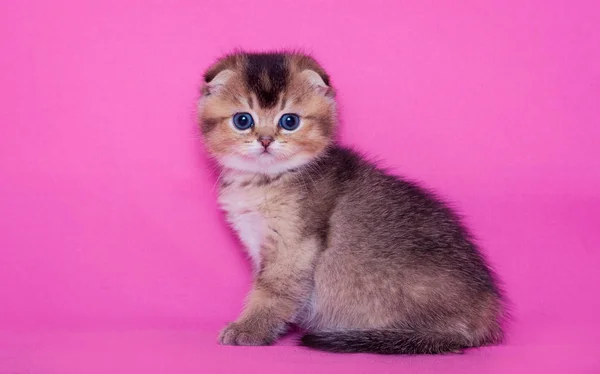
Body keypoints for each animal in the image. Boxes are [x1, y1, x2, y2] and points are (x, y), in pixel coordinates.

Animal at [199, 51, 504, 354]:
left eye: (289, 121)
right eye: (243, 120)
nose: (265, 140)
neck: (266, 181)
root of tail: (487, 313)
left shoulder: (293, 247)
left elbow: (272, 291)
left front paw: (250, 329)